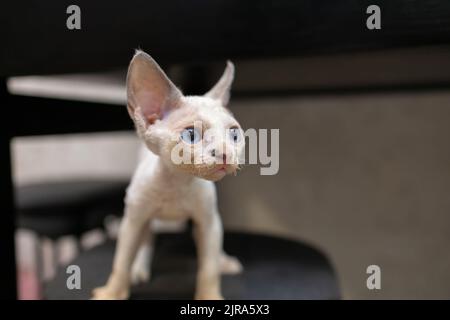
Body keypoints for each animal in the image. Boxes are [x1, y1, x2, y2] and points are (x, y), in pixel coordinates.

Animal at [92, 50, 244, 300]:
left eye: (234, 134)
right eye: (191, 135)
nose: (225, 153)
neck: (177, 183)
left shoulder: (208, 221)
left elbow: (208, 268)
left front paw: (209, 296)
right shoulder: (133, 218)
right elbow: (121, 261)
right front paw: (112, 293)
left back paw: (224, 261)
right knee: (146, 239)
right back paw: (139, 268)